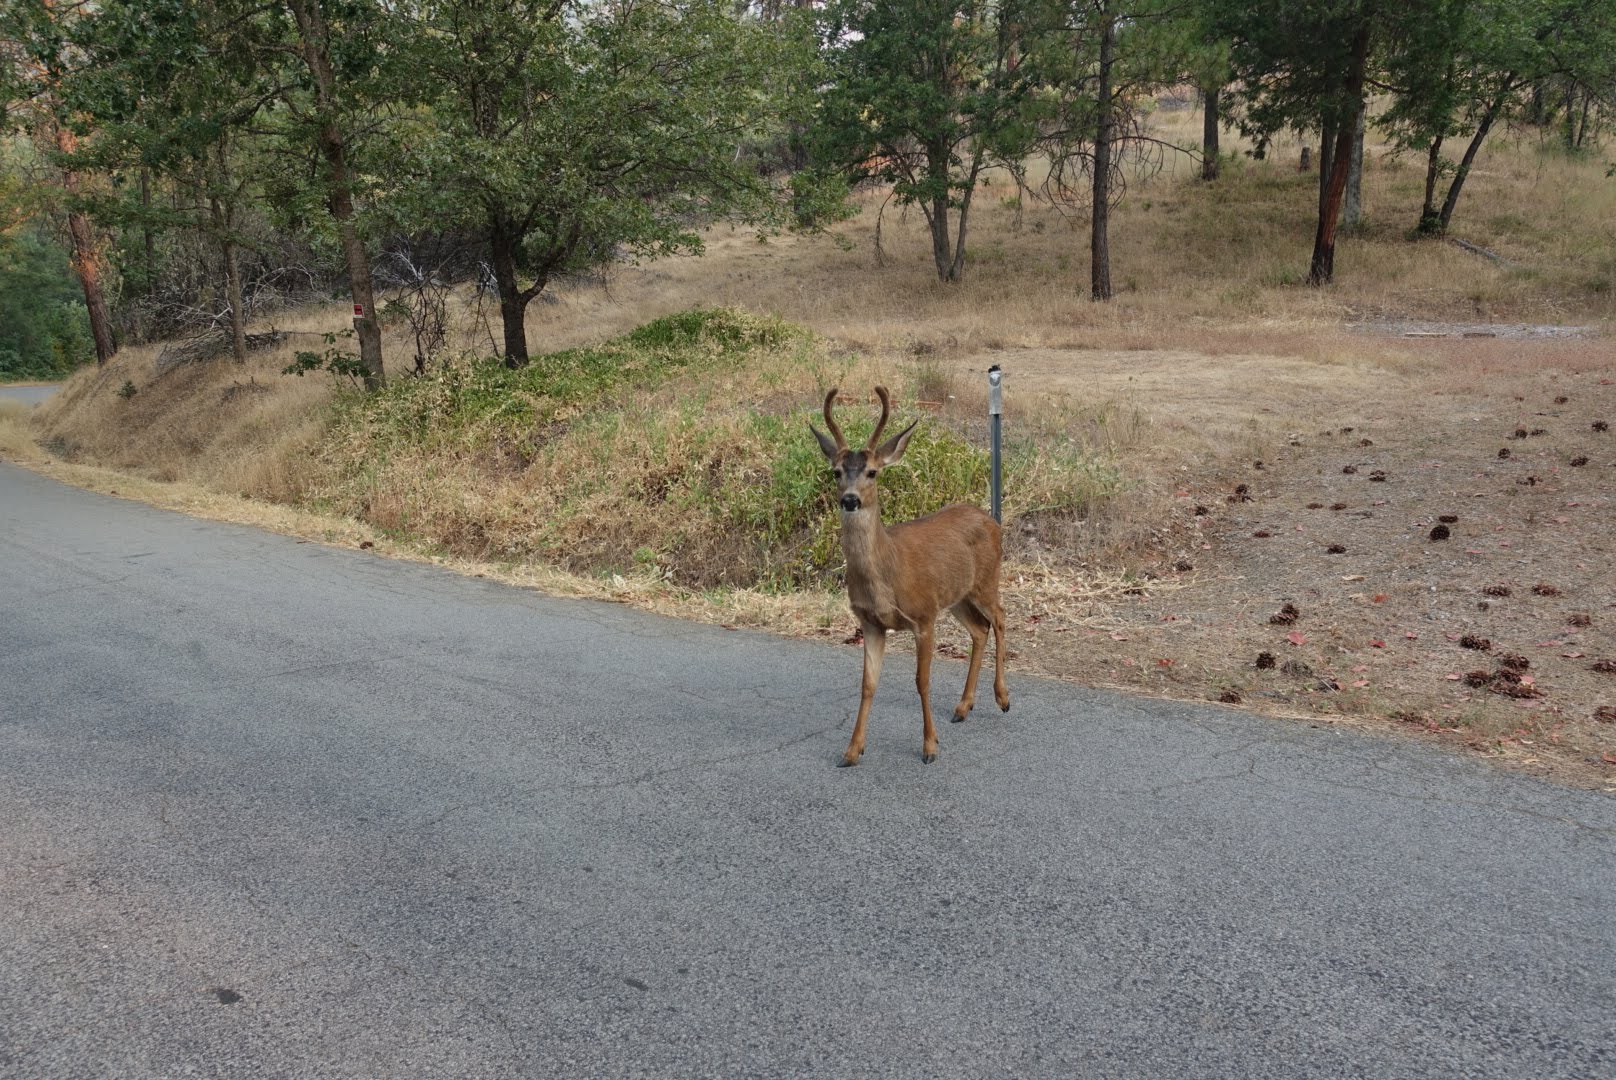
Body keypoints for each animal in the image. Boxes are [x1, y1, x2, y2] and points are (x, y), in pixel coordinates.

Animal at [811, 386, 1009, 766]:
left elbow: (922, 681)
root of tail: (993, 520)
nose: (850, 500)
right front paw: (852, 750)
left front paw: (930, 746)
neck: (887, 573)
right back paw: (963, 707)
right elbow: (867, 684)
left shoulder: (923, 615)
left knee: (1001, 618)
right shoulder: (871, 622)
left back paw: (1003, 697)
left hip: (986, 580)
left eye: (873, 472)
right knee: (980, 630)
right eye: (836, 472)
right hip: (957, 596)